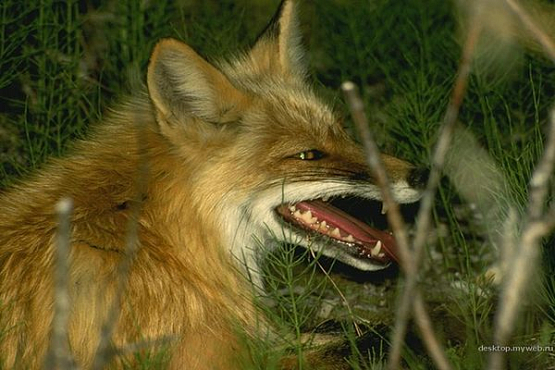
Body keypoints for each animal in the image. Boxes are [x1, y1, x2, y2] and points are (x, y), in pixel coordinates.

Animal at [0, 1, 426, 368]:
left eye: (344, 134)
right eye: (308, 155)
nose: (421, 174)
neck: (163, 238)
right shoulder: (209, 355)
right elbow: (367, 338)